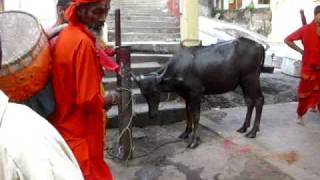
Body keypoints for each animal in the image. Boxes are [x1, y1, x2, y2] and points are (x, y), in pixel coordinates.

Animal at [132, 37, 268, 148]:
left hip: (251, 79)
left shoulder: (196, 94)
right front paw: (185, 133)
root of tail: (259, 45)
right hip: (243, 82)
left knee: (259, 100)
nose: (152, 115)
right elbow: (188, 113)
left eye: (155, 92)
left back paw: (253, 132)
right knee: (249, 101)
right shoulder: (186, 96)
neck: (178, 73)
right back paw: (244, 127)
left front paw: (194, 141)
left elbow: (196, 116)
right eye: (143, 94)